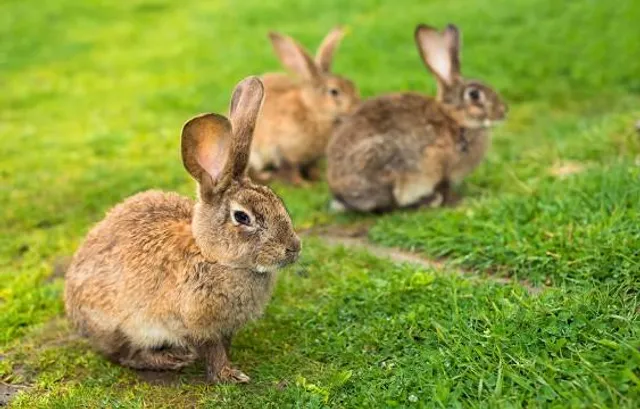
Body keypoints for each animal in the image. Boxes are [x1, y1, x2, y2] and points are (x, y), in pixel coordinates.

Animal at [64, 76, 301, 384]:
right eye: (242, 217)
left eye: (278, 202)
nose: (293, 248)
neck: (213, 257)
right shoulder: (194, 324)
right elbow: (211, 350)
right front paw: (229, 376)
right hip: (118, 326)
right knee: (125, 355)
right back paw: (170, 359)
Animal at [249, 27, 360, 186]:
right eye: (334, 91)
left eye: (352, 84)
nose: (357, 106)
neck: (315, 113)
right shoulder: (284, 152)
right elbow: (292, 170)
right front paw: (305, 185)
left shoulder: (312, 160)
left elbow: (311, 168)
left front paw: (318, 179)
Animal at [326, 23, 507, 212]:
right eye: (474, 95)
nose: (503, 112)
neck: (454, 118)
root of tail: (340, 196)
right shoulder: (440, 166)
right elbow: (444, 186)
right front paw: (456, 201)